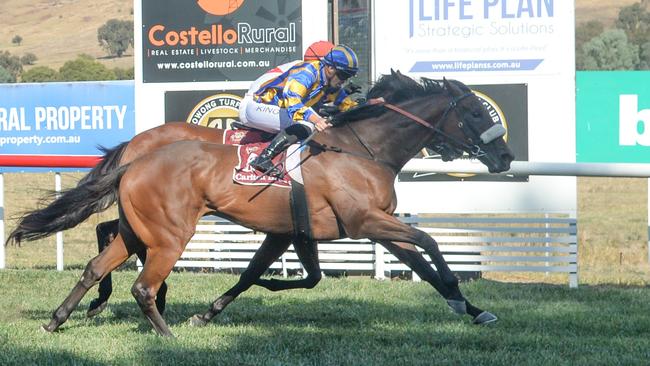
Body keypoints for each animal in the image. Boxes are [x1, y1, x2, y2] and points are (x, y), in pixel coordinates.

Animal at [5, 73, 512, 336]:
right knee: (139, 279)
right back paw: (159, 326)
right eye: (475, 112)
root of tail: (136, 154)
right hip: (169, 232)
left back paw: (60, 320)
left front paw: (470, 307)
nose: (506, 158)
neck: (363, 148)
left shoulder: (320, 228)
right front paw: (458, 293)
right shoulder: (365, 221)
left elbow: (265, 274)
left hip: (139, 227)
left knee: (98, 262)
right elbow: (430, 243)